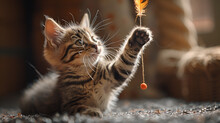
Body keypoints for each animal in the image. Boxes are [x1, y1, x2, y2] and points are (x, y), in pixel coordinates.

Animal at [19, 13, 152, 117]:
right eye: (80, 42)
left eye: (94, 38)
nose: (96, 45)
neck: (87, 75)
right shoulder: (68, 104)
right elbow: (79, 108)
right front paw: (91, 111)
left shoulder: (114, 74)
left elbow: (125, 61)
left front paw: (138, 38)